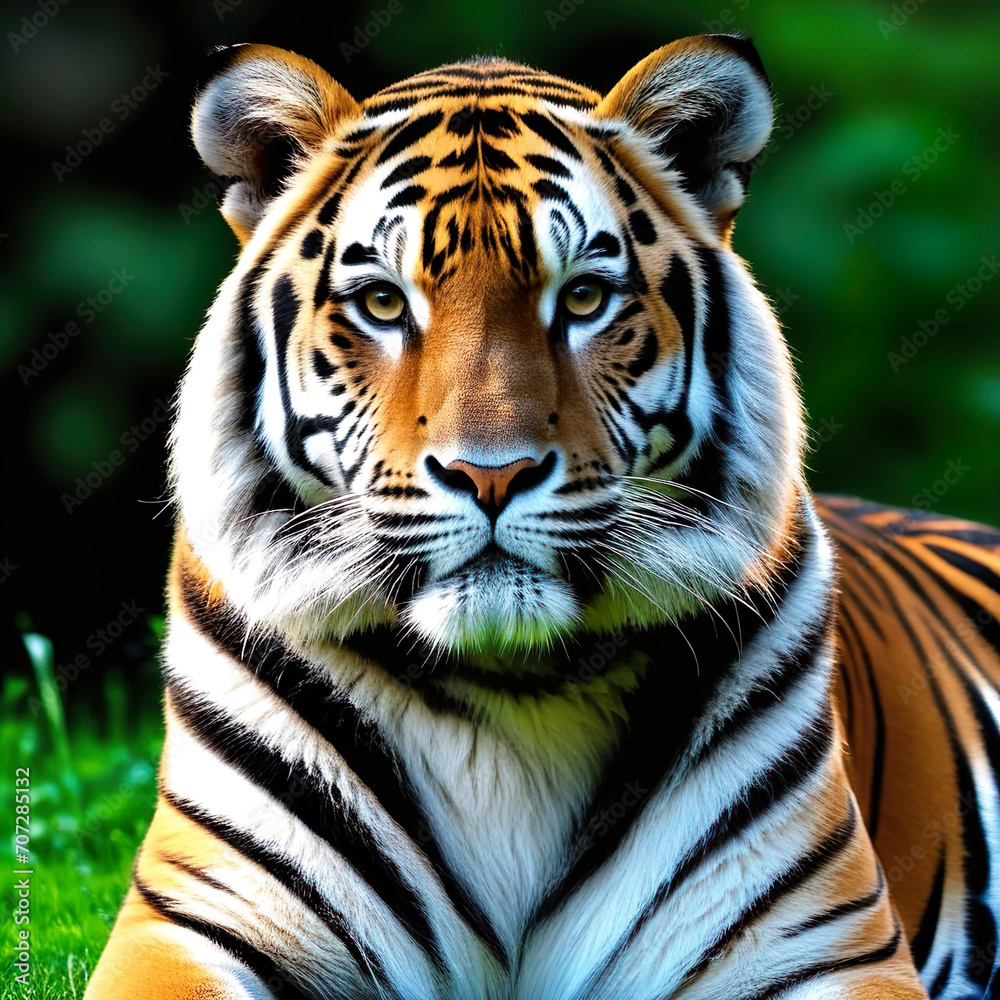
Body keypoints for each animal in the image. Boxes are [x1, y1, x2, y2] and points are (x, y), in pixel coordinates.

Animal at [83, 34, 1000, 1000]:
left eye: (586, 298)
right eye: (383, 303)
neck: (511, 689)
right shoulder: (192, 920)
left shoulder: (822, 944)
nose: (493, 474)